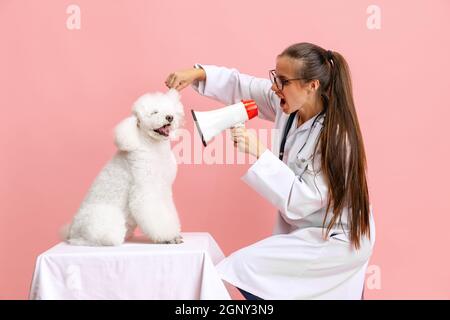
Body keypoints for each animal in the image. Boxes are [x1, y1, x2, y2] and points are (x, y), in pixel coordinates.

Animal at [64, 89, 184, 246]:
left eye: (170, 111)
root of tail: (71, 229)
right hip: (102, 219)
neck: (153, 147)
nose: (170, 117)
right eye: (154, 112)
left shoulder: (163, 190)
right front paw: (168, 237)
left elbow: (168, 213)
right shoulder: (145, 190)